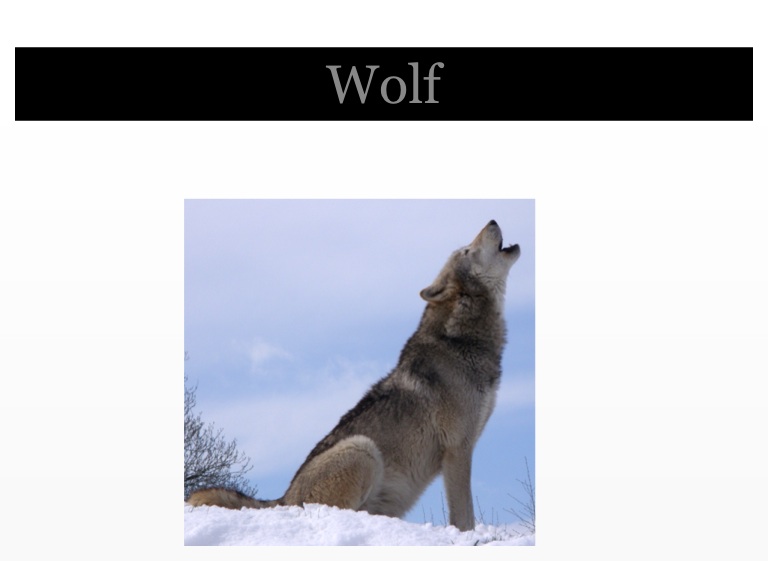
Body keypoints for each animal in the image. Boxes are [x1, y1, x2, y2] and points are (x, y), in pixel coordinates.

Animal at [187, 220, 521, 531]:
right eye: (467, 250)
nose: (492, 220)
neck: (461, 340)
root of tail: (283, 499)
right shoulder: (458, 449)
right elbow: (464, 516)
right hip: (363, 448)